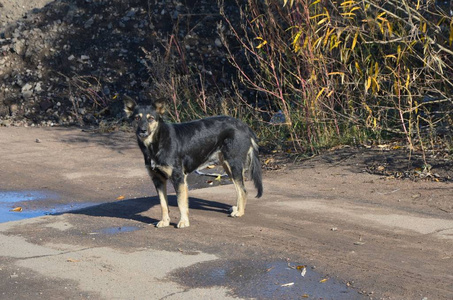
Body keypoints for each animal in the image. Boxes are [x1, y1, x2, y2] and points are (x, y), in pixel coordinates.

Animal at [123, 97, 264, 229]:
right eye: (137, 118)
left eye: (151, 118)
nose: (142, 130)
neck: (157, 143)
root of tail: (245, 126)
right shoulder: (158, 180)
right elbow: (163, 204)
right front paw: (165, 221)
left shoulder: (178, 178)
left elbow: (181, 203)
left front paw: (184, 222)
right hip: (228, 166)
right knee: (239, 190)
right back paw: (237, 208)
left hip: (234, 165)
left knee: (243, 191)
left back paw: (239, 212)